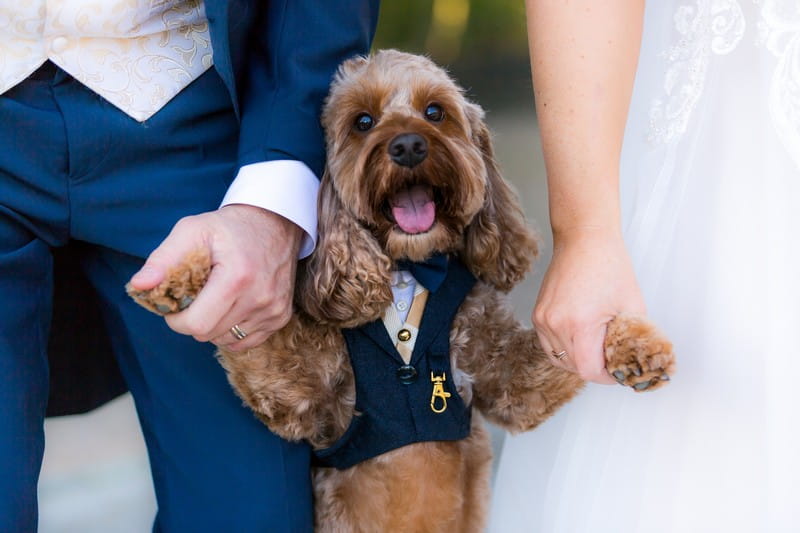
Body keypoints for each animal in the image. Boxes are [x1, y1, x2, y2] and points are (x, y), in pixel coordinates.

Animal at [130, 51, 676, 532]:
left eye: (435, 112)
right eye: (363, 121)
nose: (410, 145)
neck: (409, 269)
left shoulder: (510, 380)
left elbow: (550, 353)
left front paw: (631, 347)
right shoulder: (298, 395)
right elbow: (262, 344)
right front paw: (188, 277)